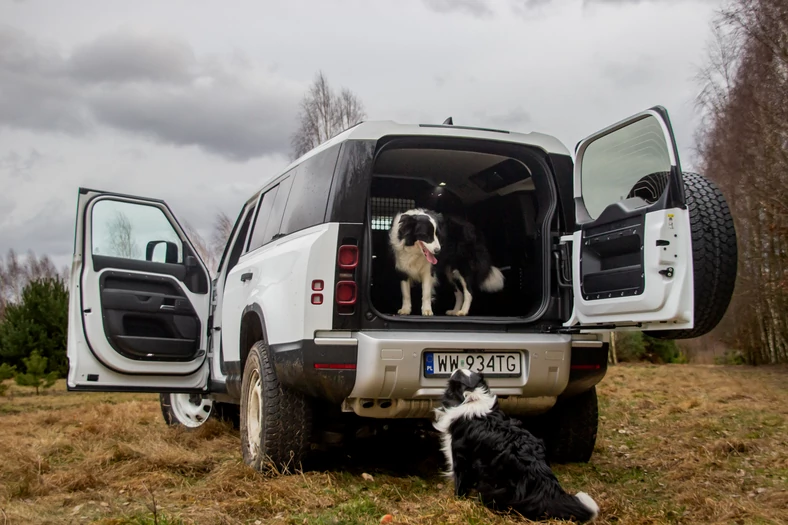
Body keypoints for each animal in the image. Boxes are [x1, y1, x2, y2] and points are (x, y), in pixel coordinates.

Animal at [430, 368, 596, 520]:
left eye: (457, 374)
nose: (455, 367)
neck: (471, 396)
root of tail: (547, 490)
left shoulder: (460, 457)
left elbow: (460, 484)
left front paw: (457, 502)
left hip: (492, 487)